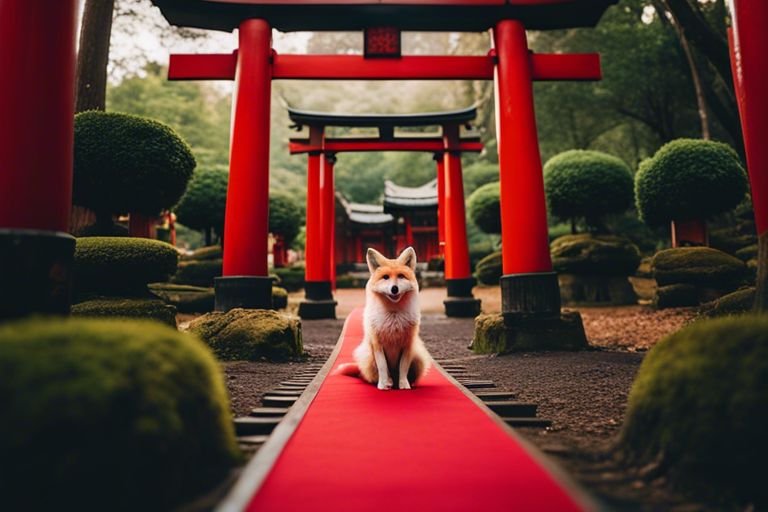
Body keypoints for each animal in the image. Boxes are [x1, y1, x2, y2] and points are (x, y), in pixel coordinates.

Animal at [337, 246, 431, 390]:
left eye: (401, 276)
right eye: (385, 277)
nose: (394, 289)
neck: (393, 315)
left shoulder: (407, 345)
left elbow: (403, 369)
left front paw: (404, 385)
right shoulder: (378, 345)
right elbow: (382, 368)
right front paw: (383, 385)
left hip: (418, 356)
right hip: (369, 357)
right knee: (374, 375)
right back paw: (388, 382)